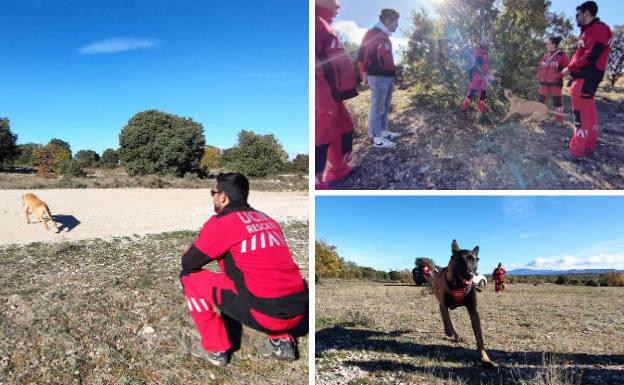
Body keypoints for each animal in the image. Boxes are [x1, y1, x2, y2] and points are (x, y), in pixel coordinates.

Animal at [432, 238, 494, 368]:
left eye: (473, 259)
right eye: (459, 259)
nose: (469, 274)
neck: (459, 285)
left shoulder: (473, 311)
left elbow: (479, 338)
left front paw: (485, 358)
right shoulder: (443, 305)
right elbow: (447, 321)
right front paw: (448, 332)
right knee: (448, 321)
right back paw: (451, 333)